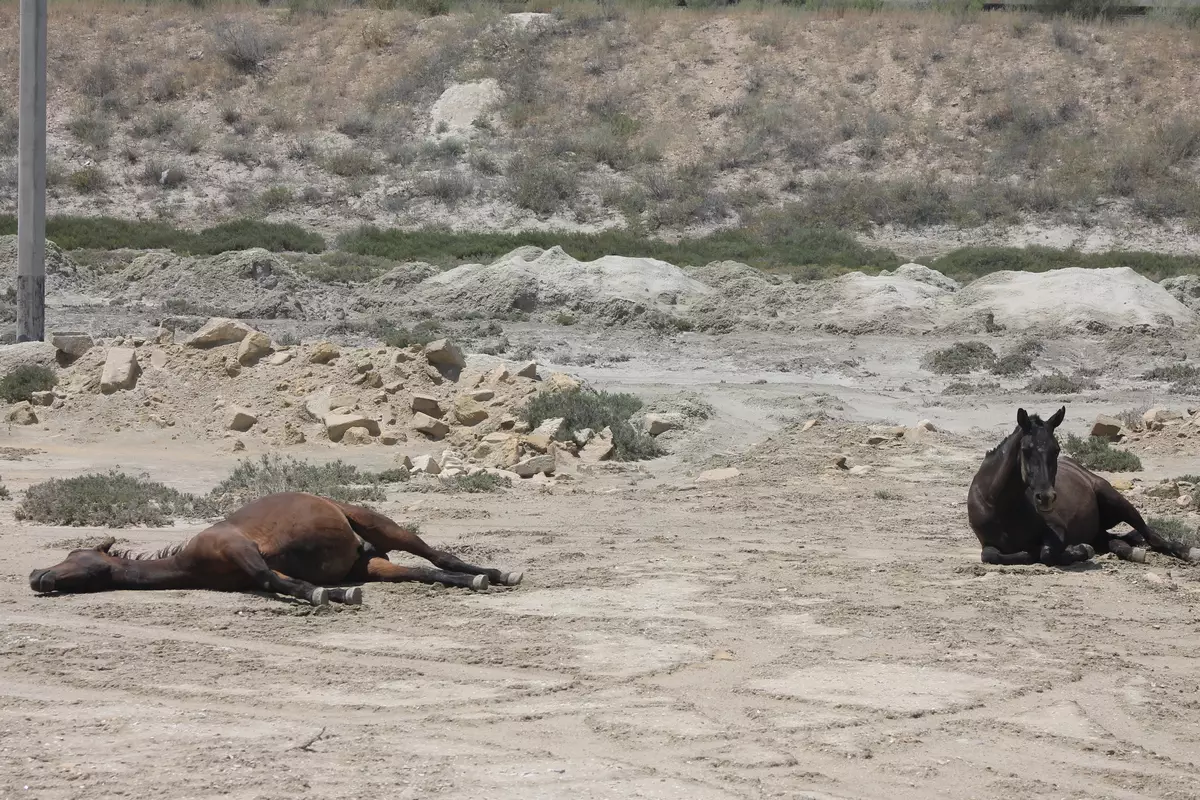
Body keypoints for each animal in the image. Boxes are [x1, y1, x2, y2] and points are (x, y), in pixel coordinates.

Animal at [964, 407, 1200, 568]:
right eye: (1026, 449)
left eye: (1056, 449)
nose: (1046, 497)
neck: (999, 505)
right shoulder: (988, 544)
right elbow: (992, 556)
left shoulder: (1057, 529)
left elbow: (1046, 553)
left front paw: (1079, 550)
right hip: (1098, 530)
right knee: (1117, 541)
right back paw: (1131, 551)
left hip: (1115, 500)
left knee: (1151, 535)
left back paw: (1186, 552)